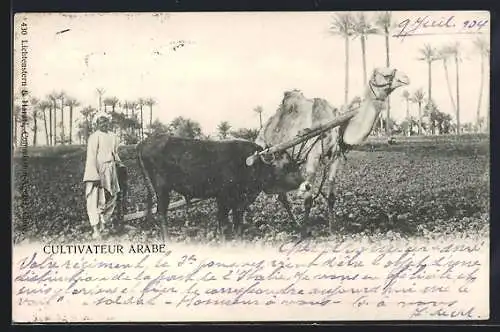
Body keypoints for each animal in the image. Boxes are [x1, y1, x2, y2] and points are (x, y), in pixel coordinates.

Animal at [256, 66, 408, 235]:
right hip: (266, 151)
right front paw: (304, 232)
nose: (406, 78)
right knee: (280, 193)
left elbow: (331, 197)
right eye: (386, 74)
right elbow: (308, 199)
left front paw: (332, 229)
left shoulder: (336, 156)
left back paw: (295, 223)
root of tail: (264, 127)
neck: (333, 126)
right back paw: (294, 224)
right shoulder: (313, 156)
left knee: (281, 193)